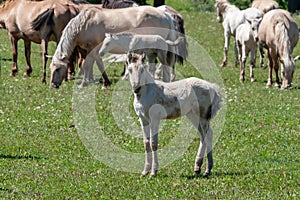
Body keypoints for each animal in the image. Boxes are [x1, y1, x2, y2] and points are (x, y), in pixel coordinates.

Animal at [49, 6, 185, 88]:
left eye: (57, 69)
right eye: (51, 68)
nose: (52, 85)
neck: (85, 24)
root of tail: (166, 15)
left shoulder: (92, 48)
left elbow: (87, 64)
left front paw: (83, 83)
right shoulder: (95, 50)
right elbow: (98, 63)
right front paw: (105, 81)